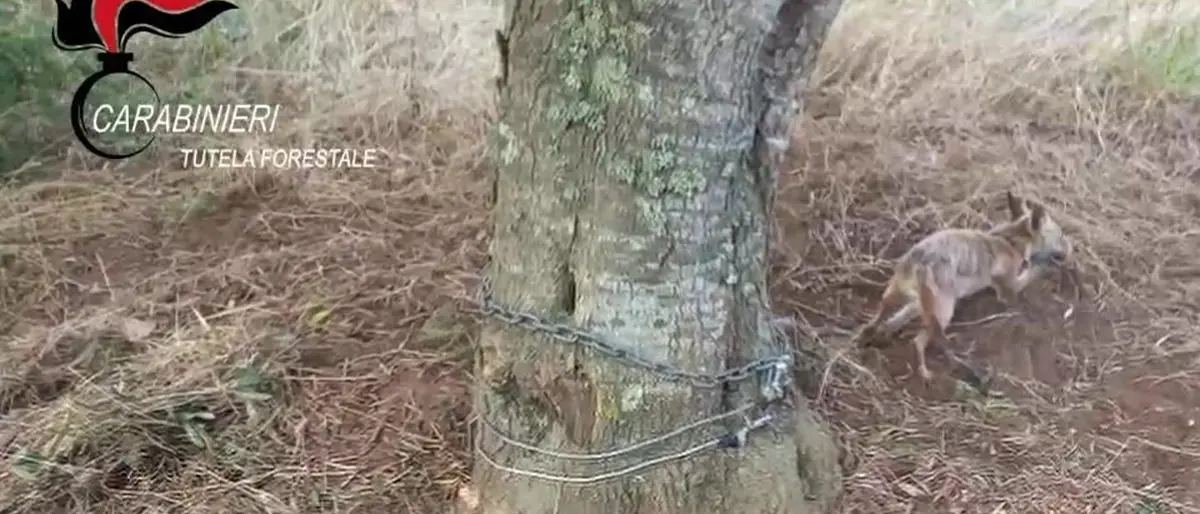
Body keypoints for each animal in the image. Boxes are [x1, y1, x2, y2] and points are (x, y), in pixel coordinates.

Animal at [854, 191, 1071, 388]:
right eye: (1060, 235)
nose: (1070, 250)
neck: (1011, 239)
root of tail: (920, 262)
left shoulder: (922, 302)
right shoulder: (1009, 286)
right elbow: (1030, 274)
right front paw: (1044, 267)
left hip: (901, 295)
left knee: (881, 318)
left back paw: (872, 334)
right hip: (944, 311)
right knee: (917, 341)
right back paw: (925, 372)